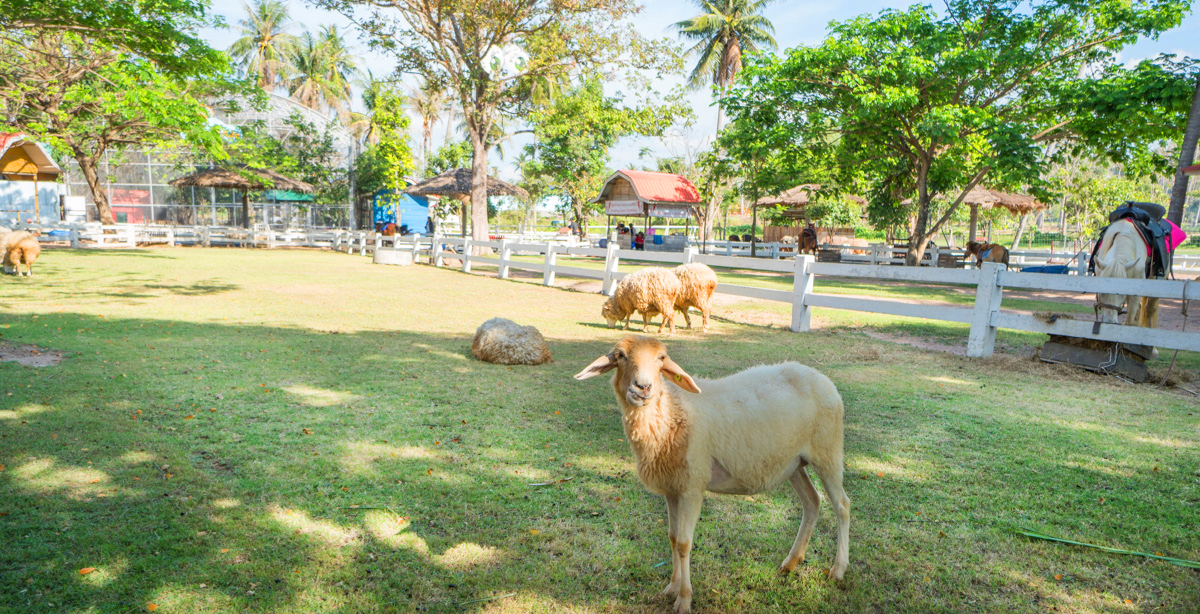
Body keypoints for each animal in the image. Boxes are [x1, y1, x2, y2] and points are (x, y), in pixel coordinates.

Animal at [574, 336, 850, 614]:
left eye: (661, 358)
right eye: (620, 355)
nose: (642, 387)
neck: (672, 413)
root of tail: (822, 379)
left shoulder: (692, 487)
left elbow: (684, 543)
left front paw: (684, 599)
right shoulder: (672, 489)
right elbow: (672, 537)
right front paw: (672, 587)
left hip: (828, 451)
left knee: (842, 505)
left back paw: (838, 570)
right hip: (794, 463)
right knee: (812, 501)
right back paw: (791, 562)